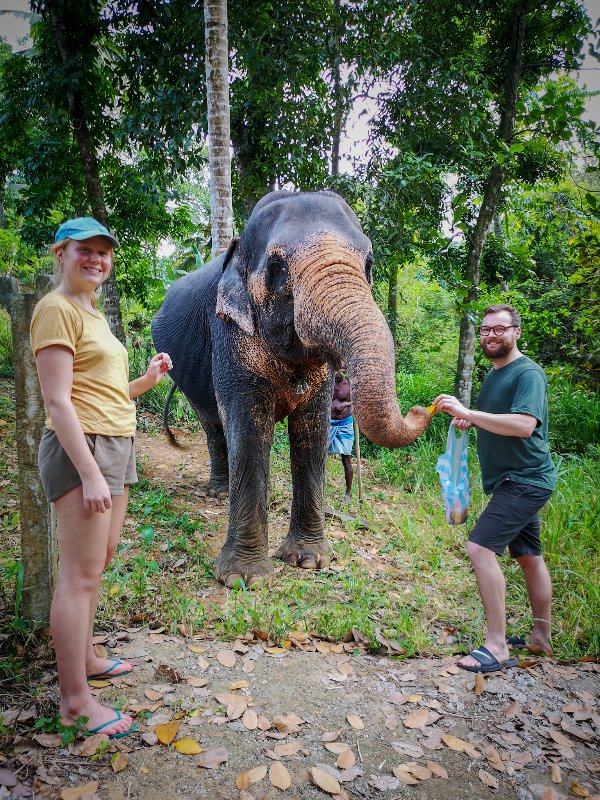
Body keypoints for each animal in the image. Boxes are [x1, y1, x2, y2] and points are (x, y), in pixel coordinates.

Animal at [151, 189, 432, 588]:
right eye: (276, 267)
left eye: (370, 263)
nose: (422, 409)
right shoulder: (229, 332)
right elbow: (250, 429)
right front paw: (242, 578)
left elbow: (312, 433)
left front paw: (308, 561)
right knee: (213, 424)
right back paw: (219, 492)